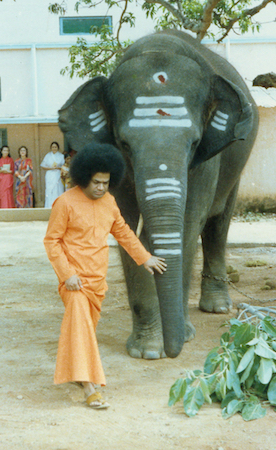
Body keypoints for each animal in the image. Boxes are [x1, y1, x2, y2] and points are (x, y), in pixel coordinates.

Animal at [58, 29, 258, 360]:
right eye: (124, 144)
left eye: (195, 143)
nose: (174, 350)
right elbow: (126, 226)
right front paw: (149, 350)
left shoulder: (206, 162)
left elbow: (190, 224)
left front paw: (182, 336)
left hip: (236, 165)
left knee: (218, 222)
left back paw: (217, 307)